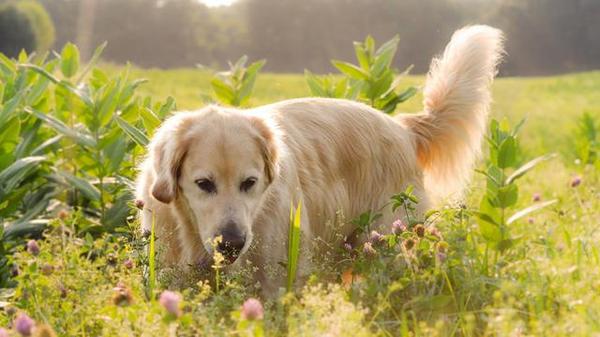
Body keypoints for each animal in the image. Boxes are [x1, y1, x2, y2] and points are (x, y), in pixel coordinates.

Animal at [136, 25, 502, 292]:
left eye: (249, 183)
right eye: (203, 184)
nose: (232, 244)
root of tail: (403, 127)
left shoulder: (277, 279)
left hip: (391, 242)